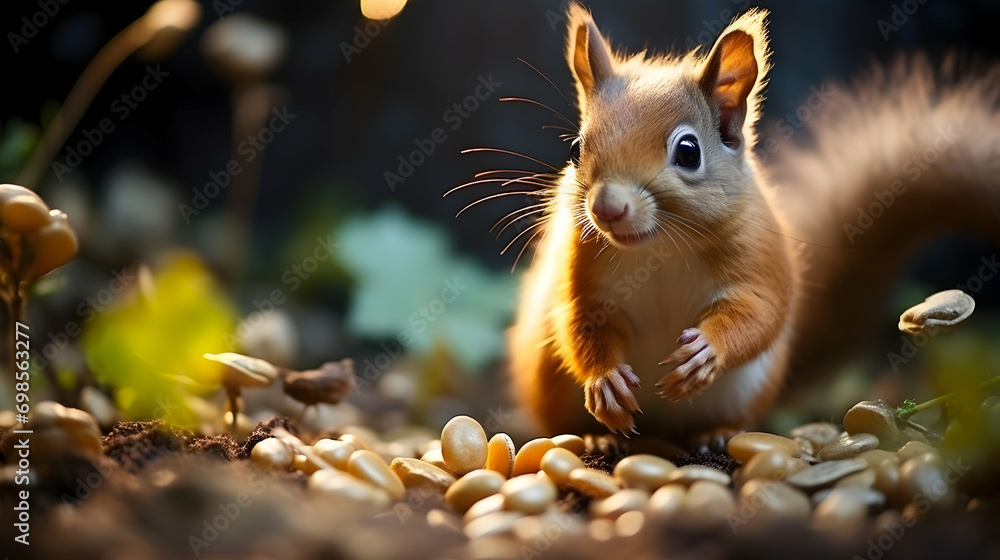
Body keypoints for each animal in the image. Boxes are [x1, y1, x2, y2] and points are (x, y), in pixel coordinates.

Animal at [496, 3, 1000, 444]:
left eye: (688, 151)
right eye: (576, 149)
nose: (606, 209)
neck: (659, 247)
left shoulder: (758, 255)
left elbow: (759, 312)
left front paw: (706, 350)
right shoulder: (583, 270)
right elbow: (580, 322)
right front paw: (605, 381)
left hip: (748, 389)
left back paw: (717, 433)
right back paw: (597, 436)